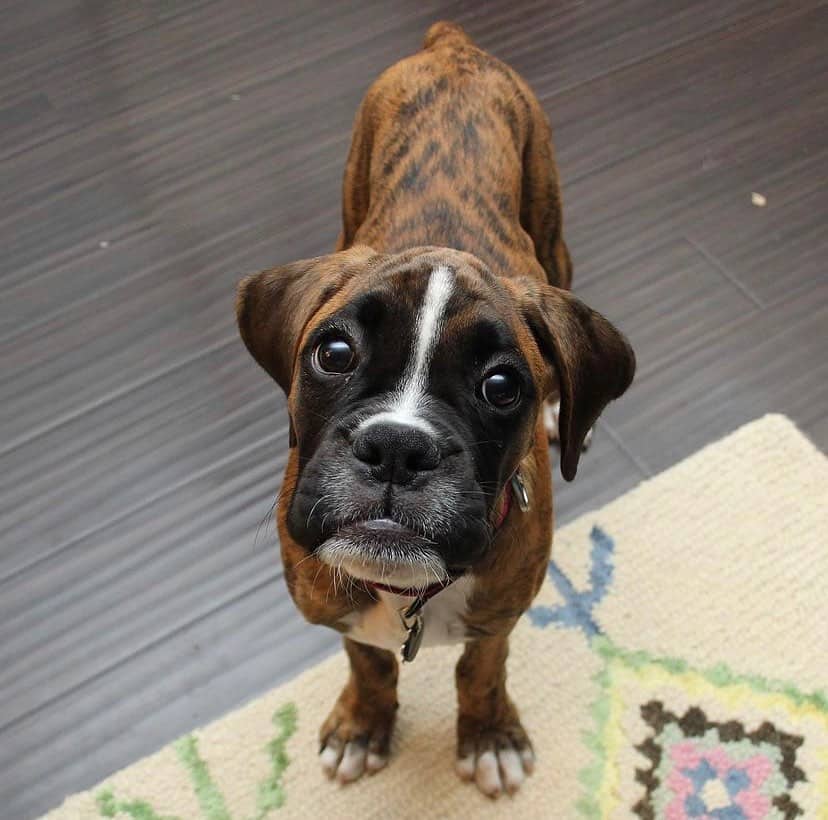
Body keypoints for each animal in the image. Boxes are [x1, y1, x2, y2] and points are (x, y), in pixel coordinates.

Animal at [236, 22, 636, 796]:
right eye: (334, 352)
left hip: (551, 226)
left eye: (502, 386)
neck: (407, 594)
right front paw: (363, 725)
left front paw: (489, 736)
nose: (398, 446)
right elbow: (368, 662)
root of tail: (454, 46)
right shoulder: (340, 611)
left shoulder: (501, 616)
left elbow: (481, 670)